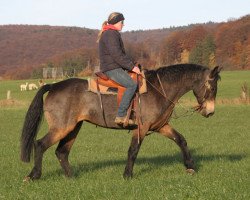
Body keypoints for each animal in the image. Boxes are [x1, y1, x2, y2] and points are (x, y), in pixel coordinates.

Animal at [20, 63, 222, 180]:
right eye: (212, 87)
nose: (210, 111)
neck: (158, 89)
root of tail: (54, 86)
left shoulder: (160, 126)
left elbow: (181, 140)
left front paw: (190, 167)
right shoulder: (142, 128)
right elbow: (133, 151)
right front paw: (127, 175)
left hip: (73, 128)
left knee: (61, 152)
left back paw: (71, 177)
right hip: (62, 128)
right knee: (40, 144)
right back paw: (34, 175)